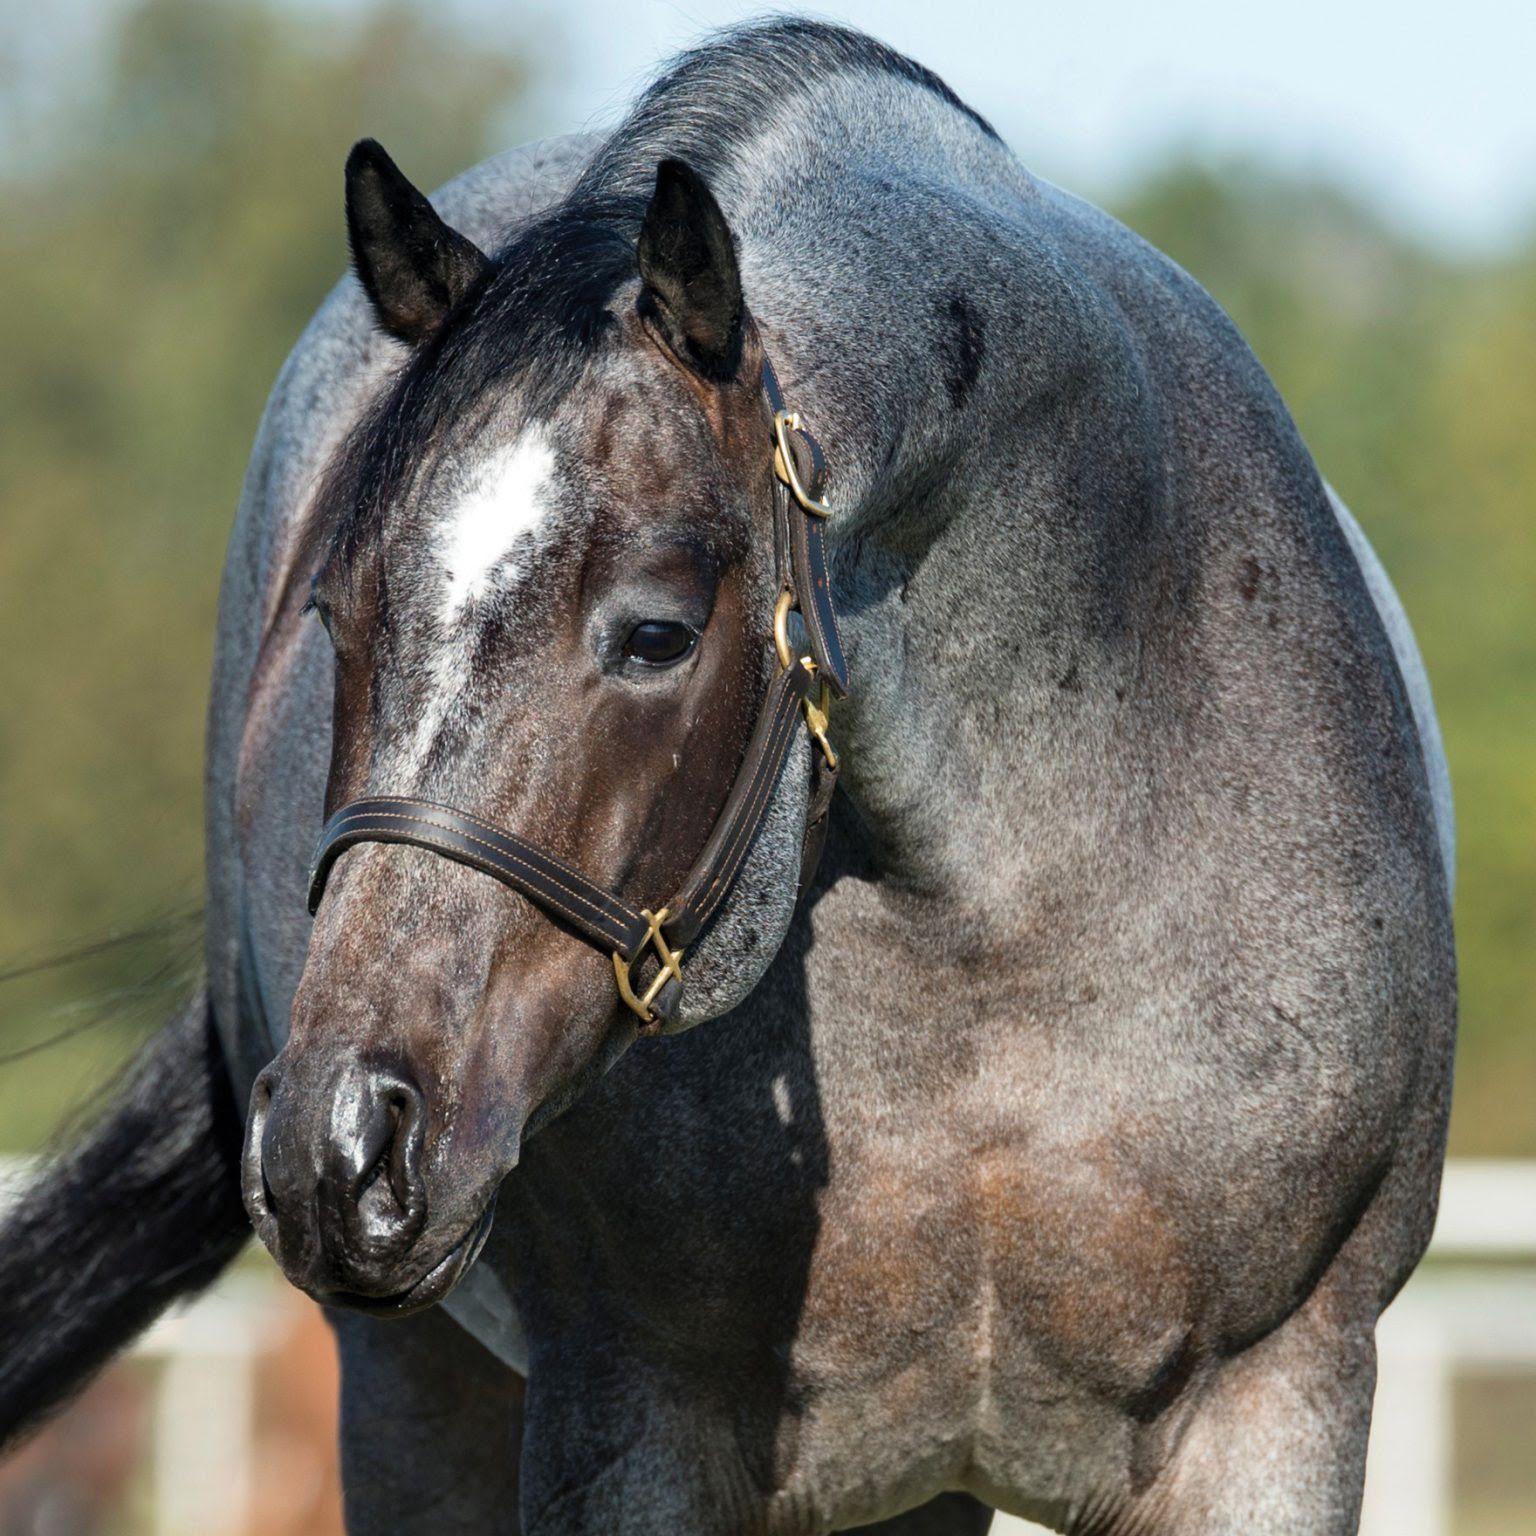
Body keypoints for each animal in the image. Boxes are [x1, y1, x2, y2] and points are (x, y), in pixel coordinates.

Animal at [0, 20, 1456, 1534]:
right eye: (339, 620)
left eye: (656, 634)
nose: (338, 1148)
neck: (1009, 918)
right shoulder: (633, 1418)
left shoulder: (1278, 1417)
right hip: (413, 1390)